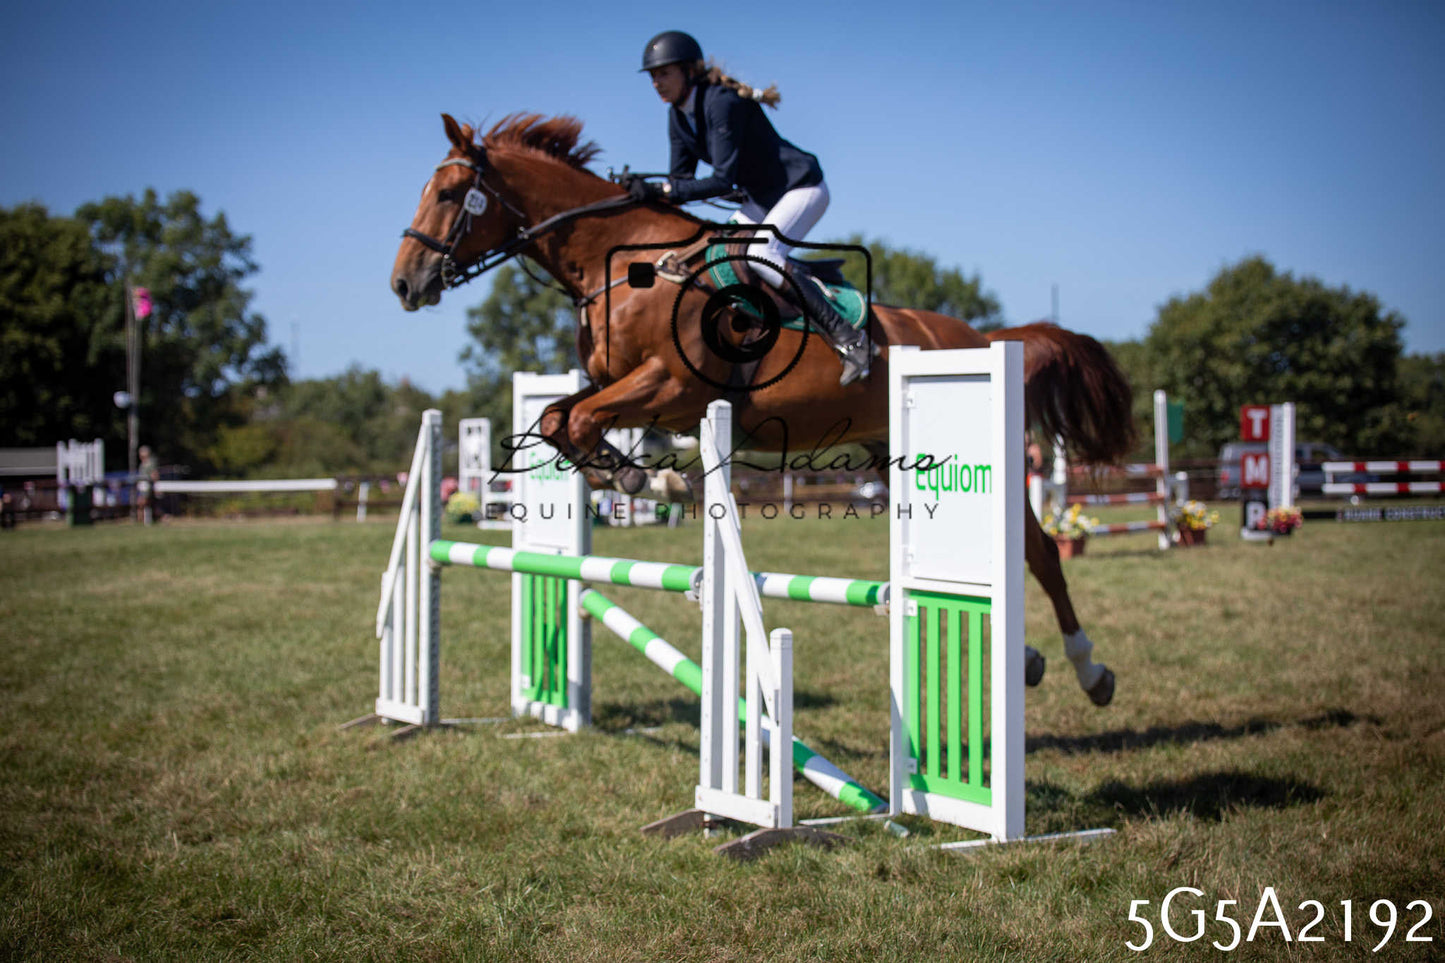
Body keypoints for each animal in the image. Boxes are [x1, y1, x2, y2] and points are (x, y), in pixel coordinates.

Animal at [391, 113, 1135, 707]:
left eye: (450, 194)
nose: (404, 283)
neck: (623, 267)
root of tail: (983, 337)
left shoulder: (672, 384)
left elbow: (578, 421)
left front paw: (636, 475)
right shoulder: (615, 384)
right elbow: (557, 420)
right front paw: (639, 475)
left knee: (1040, 551)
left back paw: (1090, 670)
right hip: (889, 458)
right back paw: (1031, 659)